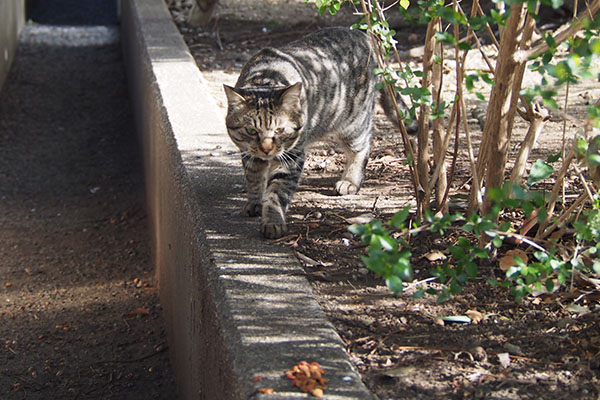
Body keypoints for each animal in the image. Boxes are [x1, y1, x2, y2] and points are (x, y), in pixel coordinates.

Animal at [223, 28, 414, 241]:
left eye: (280, 130)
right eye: (251, 131)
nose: (266, 149)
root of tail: (364, 35)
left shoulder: (292, 156)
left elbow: (277, 193)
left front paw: (272, 221)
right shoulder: (248, 153)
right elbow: (254, 178)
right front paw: (255, 202)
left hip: (353, 122)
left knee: (362, 148)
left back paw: (350, 181)